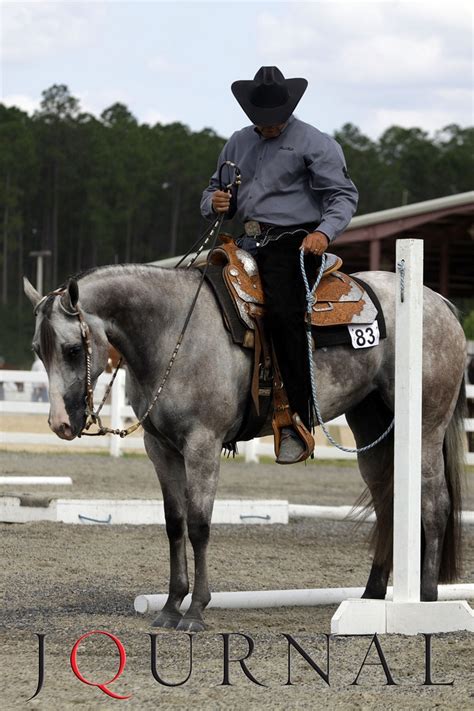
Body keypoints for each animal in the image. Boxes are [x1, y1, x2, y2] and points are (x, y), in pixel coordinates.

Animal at [24, 264, 464, 632]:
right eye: (37, 350)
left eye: (73, 350)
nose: (60, 424)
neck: (171, 332)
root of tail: (439, 302)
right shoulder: (160, 448)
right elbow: (174, 523)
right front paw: (170, 606)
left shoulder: (202, 445)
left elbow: (199, 525)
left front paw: (195, 610)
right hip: (372, 427)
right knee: (388, 505)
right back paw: (371, 596)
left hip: (425, 428)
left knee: (434, 503)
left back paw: (427, 599)